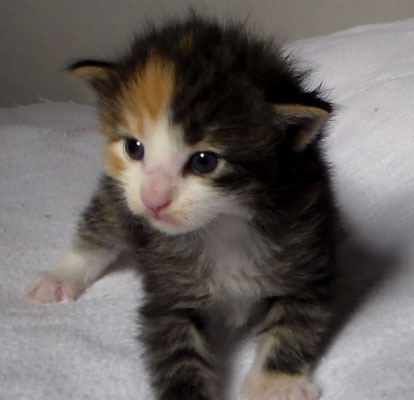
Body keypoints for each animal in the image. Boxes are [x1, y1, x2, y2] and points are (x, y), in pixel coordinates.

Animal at [25, 14, 336, 400]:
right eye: (134, 148)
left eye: (204, 161)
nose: (153, 200)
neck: (225, 224)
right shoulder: (166, 292)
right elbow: (176, 349)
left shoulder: (307, 253)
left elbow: (297, 323)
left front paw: (275, 385)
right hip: (119, 196)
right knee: (100, 224)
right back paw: (59, 276)